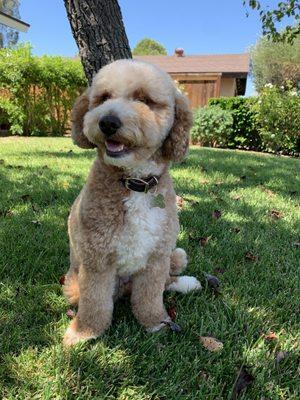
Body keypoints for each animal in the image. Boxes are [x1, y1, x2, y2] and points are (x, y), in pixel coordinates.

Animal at [63, 59, 202, 346]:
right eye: (103, 97)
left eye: (145, 100)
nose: (108, 122)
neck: (134, 182)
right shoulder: (96, 260)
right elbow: (94, 303)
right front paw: (84, 332)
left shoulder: (156, 257)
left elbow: (150, 296)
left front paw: (156, 322)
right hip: (74, 282)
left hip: (173, 254)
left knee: (168, 279)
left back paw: (186, 282)